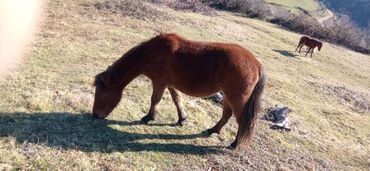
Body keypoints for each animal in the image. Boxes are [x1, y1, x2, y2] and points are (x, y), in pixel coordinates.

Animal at [92, 33, 266, 148]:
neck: (151, 52)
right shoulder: (170, 84)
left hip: (236, 98)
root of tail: (257, 64)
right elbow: (177, 100)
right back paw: (212, 130)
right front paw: (182, 119)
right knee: (226, 115)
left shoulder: (159, 82)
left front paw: (148, 117)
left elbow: (155, 100)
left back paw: (235, 144)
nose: (95, 115)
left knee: (242, 120)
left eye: (101, 93)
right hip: (229, 96)